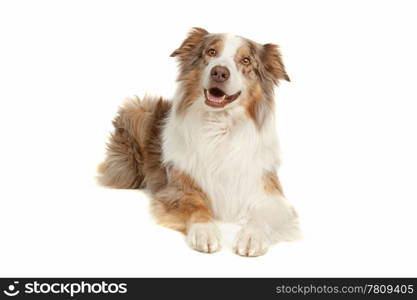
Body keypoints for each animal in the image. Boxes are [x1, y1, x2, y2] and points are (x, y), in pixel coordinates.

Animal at [97, 28, 300, 256]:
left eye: (246, 60)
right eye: (211, 52)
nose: (219, 72)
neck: (219, 127)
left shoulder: (272, 195)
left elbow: (262, 217)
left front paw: (251, 237)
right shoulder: (179, 188)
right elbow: (197, 207)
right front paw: (205, 232)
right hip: (137, 112)